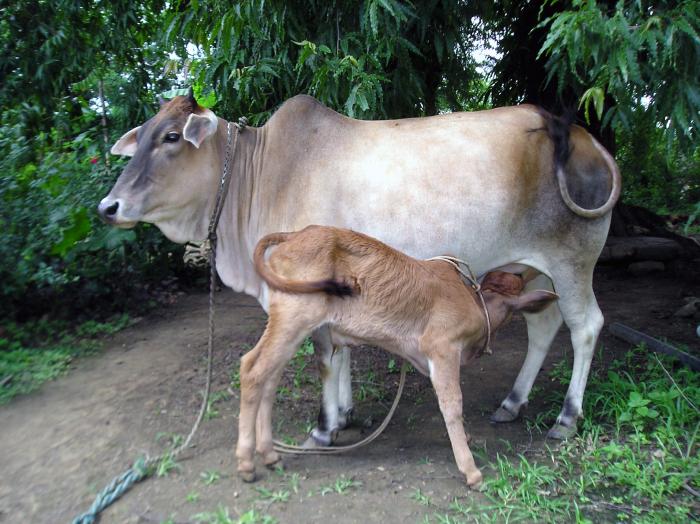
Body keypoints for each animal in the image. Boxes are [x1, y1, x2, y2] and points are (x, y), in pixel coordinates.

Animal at [99, 91, 620, 446]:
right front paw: (345, 413)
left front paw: (325, 426)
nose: (108, 207)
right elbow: (342, 352)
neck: (258, 177)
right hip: (533, 269)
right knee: (544, 325)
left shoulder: (307, 290)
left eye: (171, 137)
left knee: (585, 327)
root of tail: (570, 131)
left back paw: (566, 417)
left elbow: (325, 358)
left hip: (572, 261)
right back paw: (512, 403)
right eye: (143, 134)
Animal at [238, 225, 559, 487]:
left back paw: (269, 455)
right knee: (252, 369)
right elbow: (452, 404)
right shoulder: (442, 348)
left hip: (292, 325)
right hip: (294, 317)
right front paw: (470, 470)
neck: (475, 303)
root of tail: (295, 234)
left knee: (269, 378)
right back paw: (246, 462)